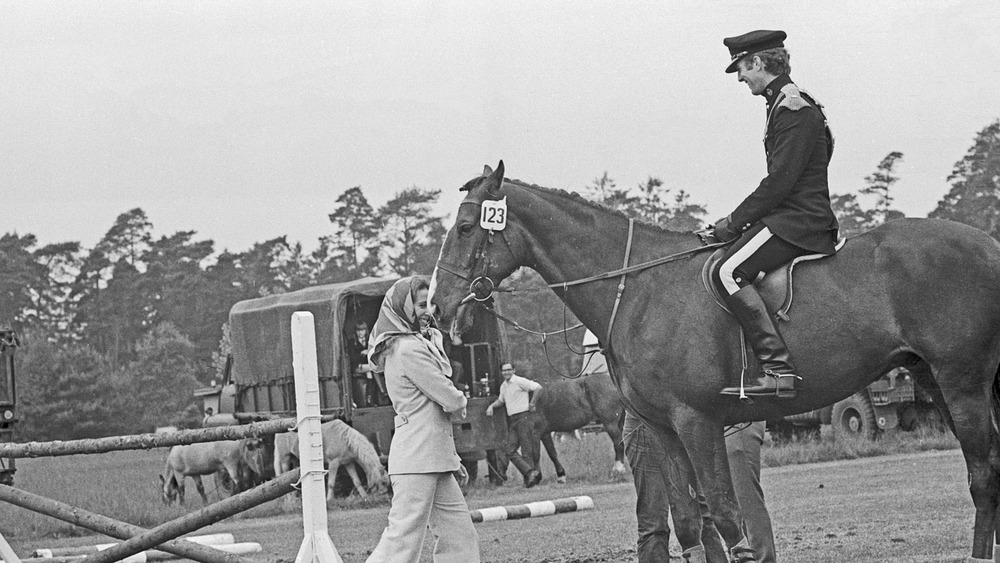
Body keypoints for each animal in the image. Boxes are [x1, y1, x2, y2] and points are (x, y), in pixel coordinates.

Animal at [432, 162, 1000, 563]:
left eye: (466, 228)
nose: (438, 305)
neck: (638, 287)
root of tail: (987, 244)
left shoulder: (696, 421)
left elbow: (727, 519)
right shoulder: (663, 428)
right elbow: (690, 522)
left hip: (962, 383)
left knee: (983, 473)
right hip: (936, 380)